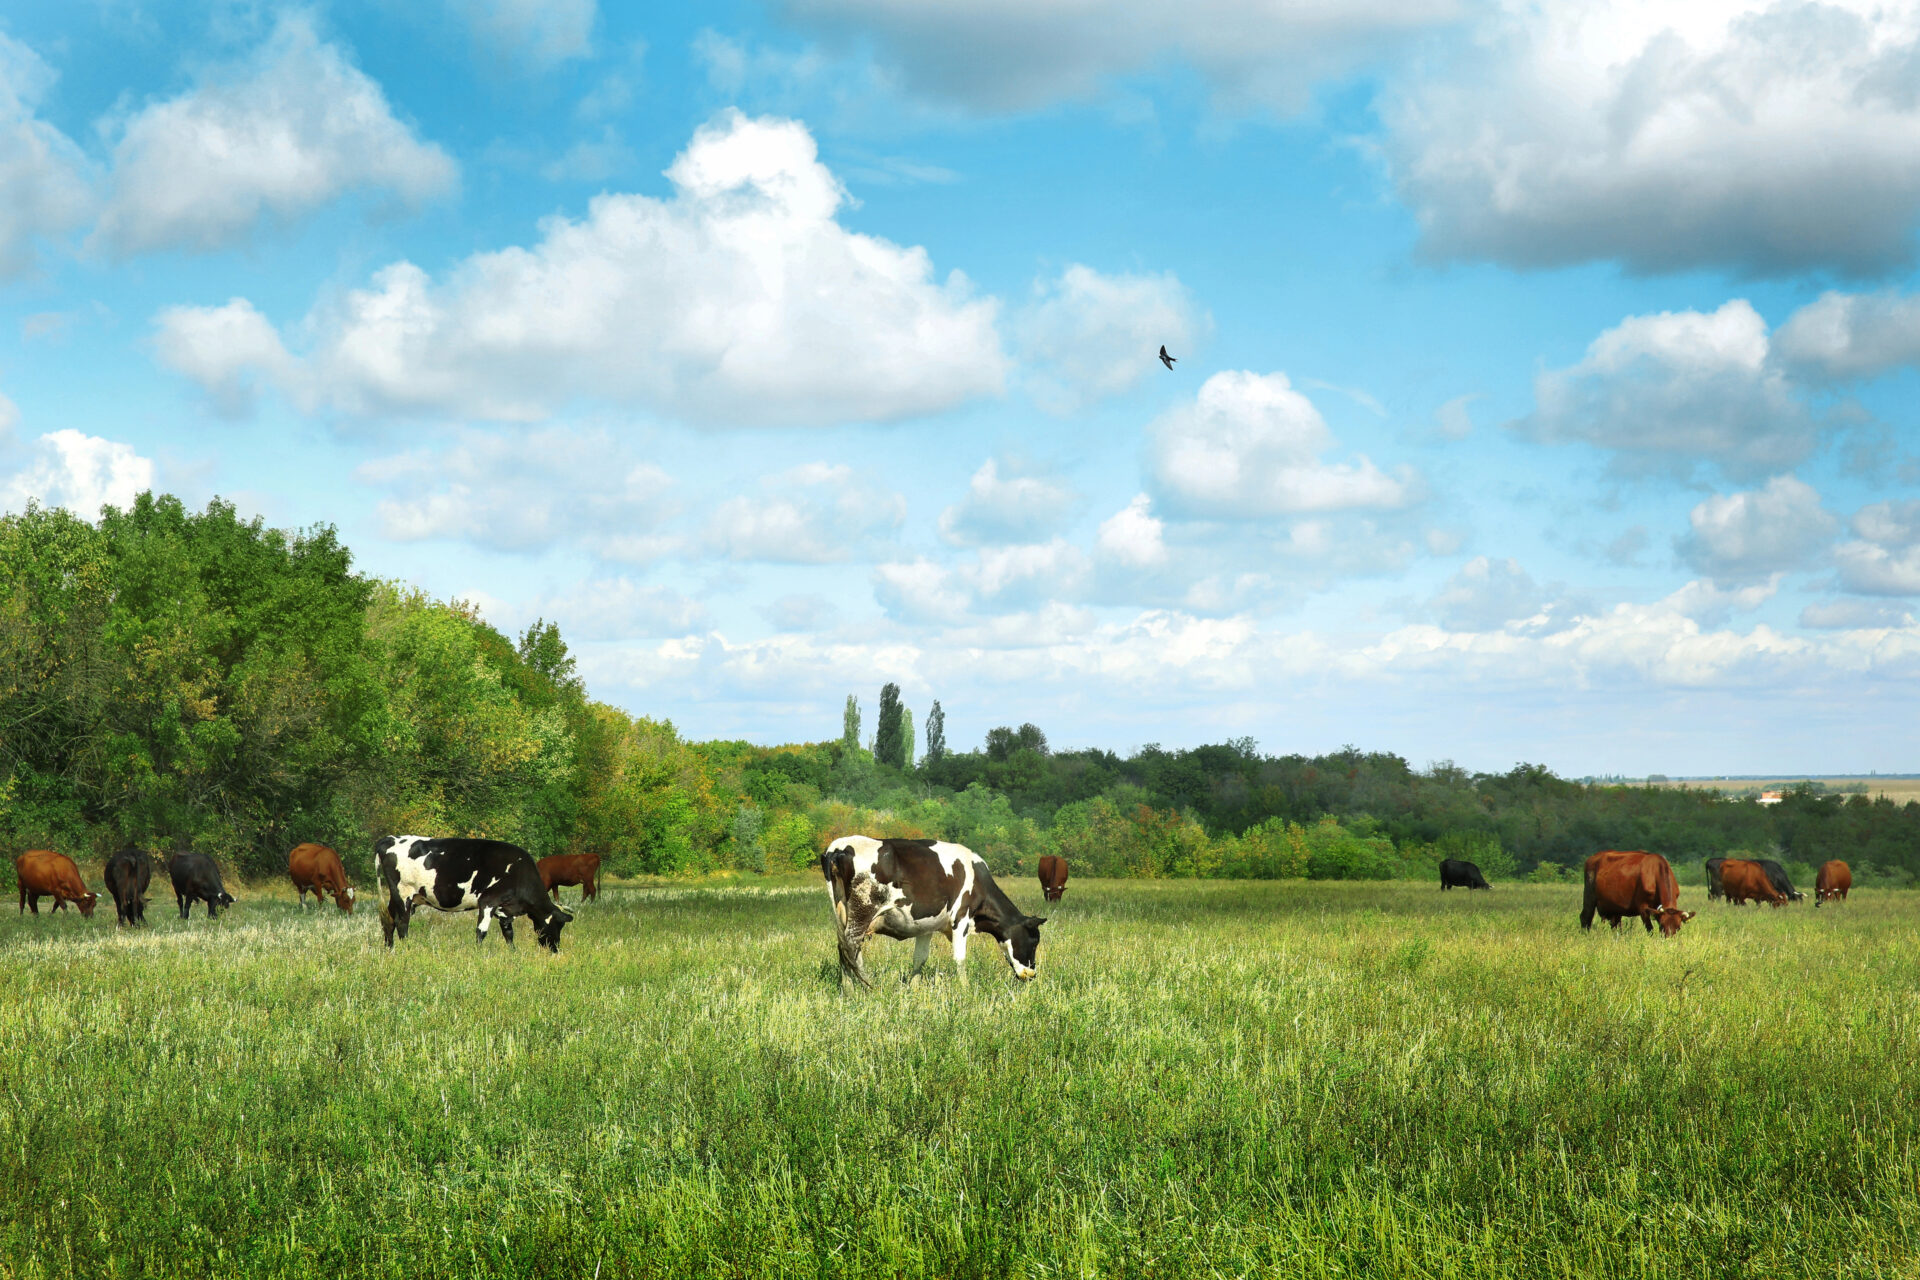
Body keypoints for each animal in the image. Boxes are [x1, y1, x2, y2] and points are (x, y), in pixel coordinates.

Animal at [374, 836, 573, 953]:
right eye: (558, 925)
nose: (555, 949)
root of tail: (390, 838)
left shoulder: (505, 909)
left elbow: (508, 933)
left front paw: (513, 952)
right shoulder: (488, 901)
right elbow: (481, 931)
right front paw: (479, 954)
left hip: (397, 896)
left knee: (389, 921)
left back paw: (390, 949)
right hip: (403, 893)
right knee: (402, 922)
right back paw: (407, 949)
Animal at [821, 836, 1045, 989]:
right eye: (1034, 941)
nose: (1031, 975)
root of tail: (839, 848)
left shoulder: (926, 927)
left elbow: (920, 958)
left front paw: (914, 988)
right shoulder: (961, 918)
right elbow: (960, 958)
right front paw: (965, 988)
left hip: (842, 913)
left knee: (845, 949)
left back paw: (849, 989)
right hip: (863, 910)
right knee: (851, 946)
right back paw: (863, 986)